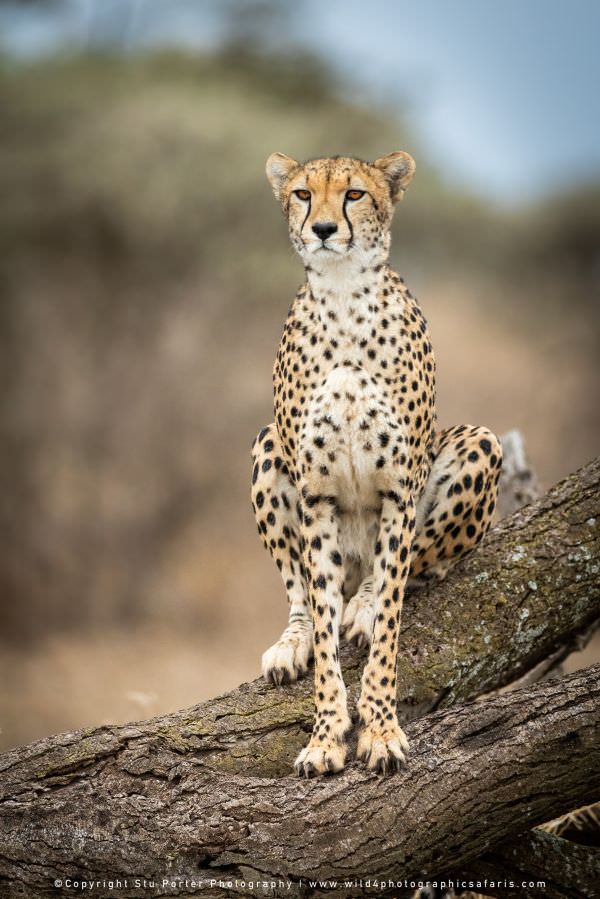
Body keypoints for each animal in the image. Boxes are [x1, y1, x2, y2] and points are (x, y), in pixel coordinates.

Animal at [251, 151, 504, 776]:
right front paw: (325, 736)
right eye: (302, 193)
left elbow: (391, 616)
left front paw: (382, 730)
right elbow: (320, 619)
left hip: (478, 443)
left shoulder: (399, 490)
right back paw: (292, 642)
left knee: (412, 567)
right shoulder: (315, 497)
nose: (322, 229)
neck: (343, 296)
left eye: (355, 195)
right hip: (268, 444)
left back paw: (363, 604)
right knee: (302, 592)